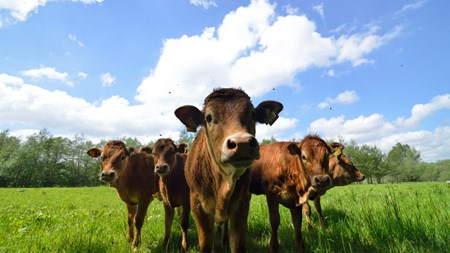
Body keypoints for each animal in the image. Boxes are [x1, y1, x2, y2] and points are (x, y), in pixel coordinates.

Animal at [175, 87, 284, 253]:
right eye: (208, 117)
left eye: (253, 114)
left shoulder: (242, 202)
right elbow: (206, 242)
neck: (224, 182)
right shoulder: (196, 203)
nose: (242, 143)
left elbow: (237, 242)